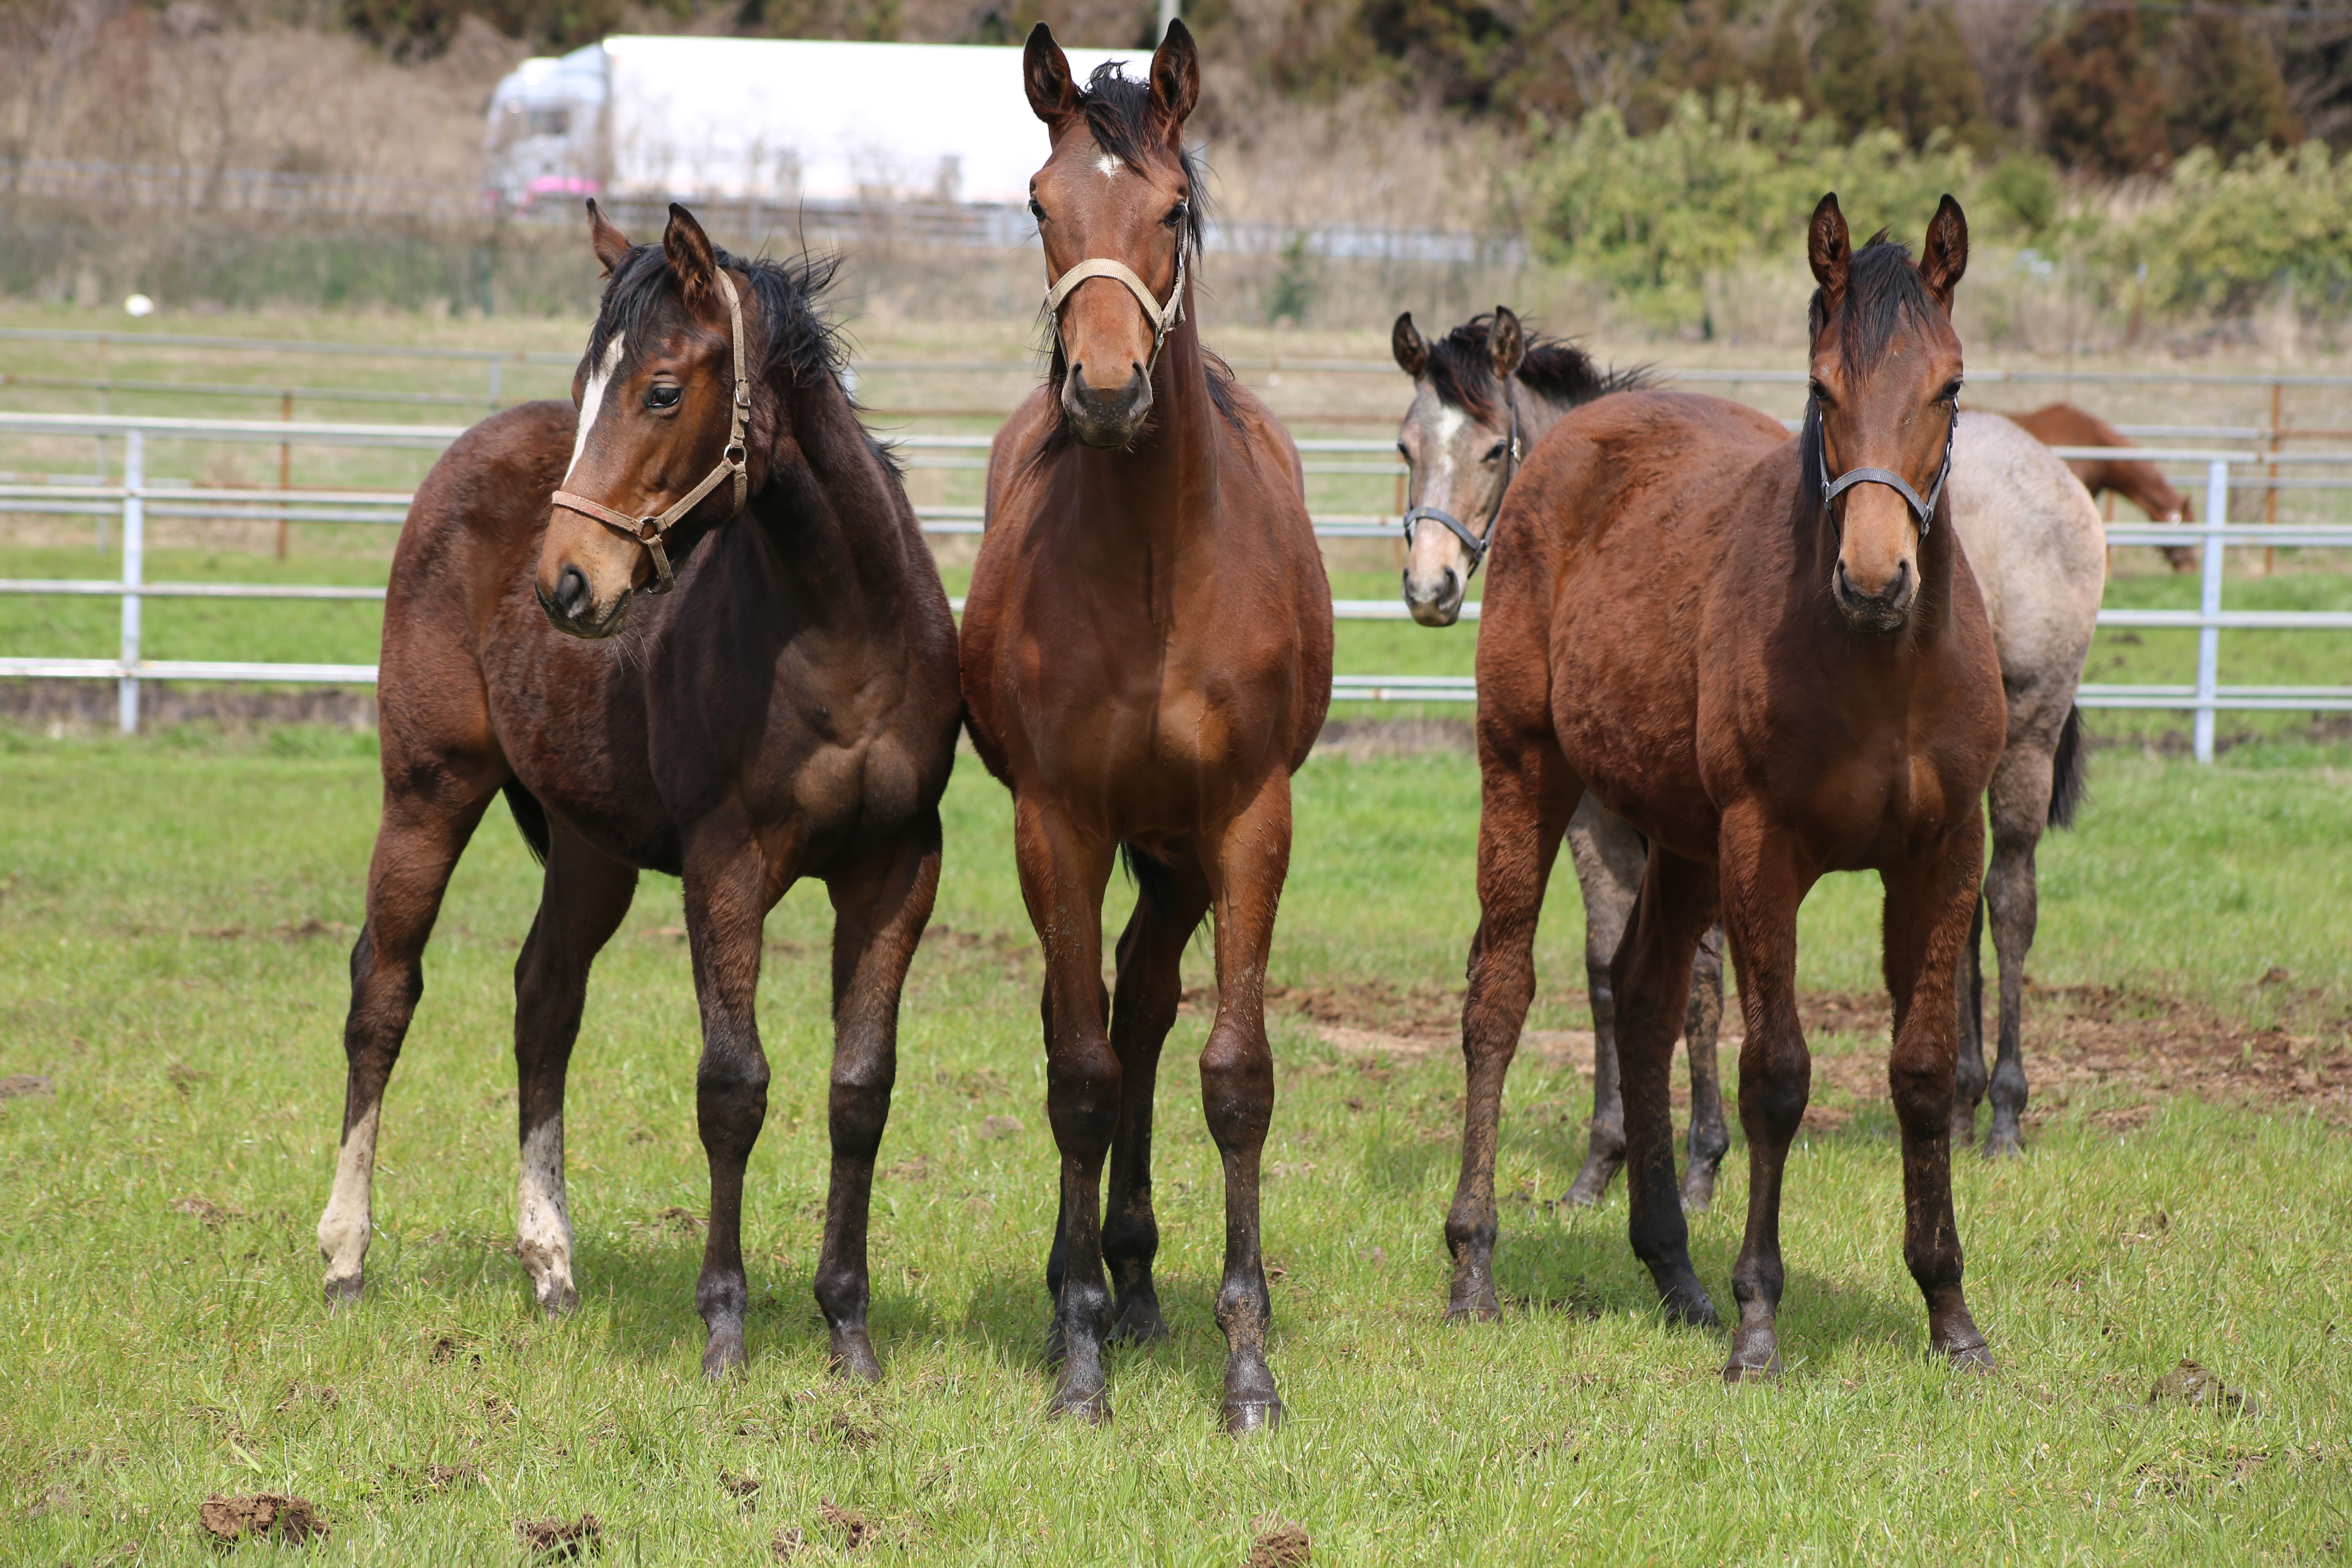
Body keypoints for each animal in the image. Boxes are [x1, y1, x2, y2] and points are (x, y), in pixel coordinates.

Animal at [317, 202, 960, 1382]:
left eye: (661, 390)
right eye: (586, 385)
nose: (566, 582)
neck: (839, 636)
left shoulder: (896, 868)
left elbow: (860, 1088)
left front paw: (848, 1330)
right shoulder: (725, 865)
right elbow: (732, 1085)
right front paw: (724, 1329)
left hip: (591, 845)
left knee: (543, 1000)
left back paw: (551, 1268)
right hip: (428, 789)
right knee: (382, 989)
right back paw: (345, 1257)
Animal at [960, 21, 1336, 1439]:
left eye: (1173, 208)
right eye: (1039, 205)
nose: (1109, 391)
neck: (1157, 573)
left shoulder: (1247, 822)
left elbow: (1235, 1075)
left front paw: (1248, 1365)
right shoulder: (1057, 821)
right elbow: (1076, 1072)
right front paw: (1078, 1359)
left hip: (1177, 856)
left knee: (1149, 1007)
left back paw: (1141, 1280)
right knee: (1103, 1023)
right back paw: (1095, 1283)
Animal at [1449, 200, 2004, 1382]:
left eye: (1950, 386)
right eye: (1820, 389)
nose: (1876, 580)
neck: (1881, 666)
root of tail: (1572, 439)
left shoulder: (1944, 854)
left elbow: (1922, 1069)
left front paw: (1950, 1312)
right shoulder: (1764, 848)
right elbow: (1776, 1075)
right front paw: (1759, 1322)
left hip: (1681, 839)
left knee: (1644, 996)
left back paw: (1671, 1266)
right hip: (1527, 771)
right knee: (1499, 994)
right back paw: (1474, 1260)